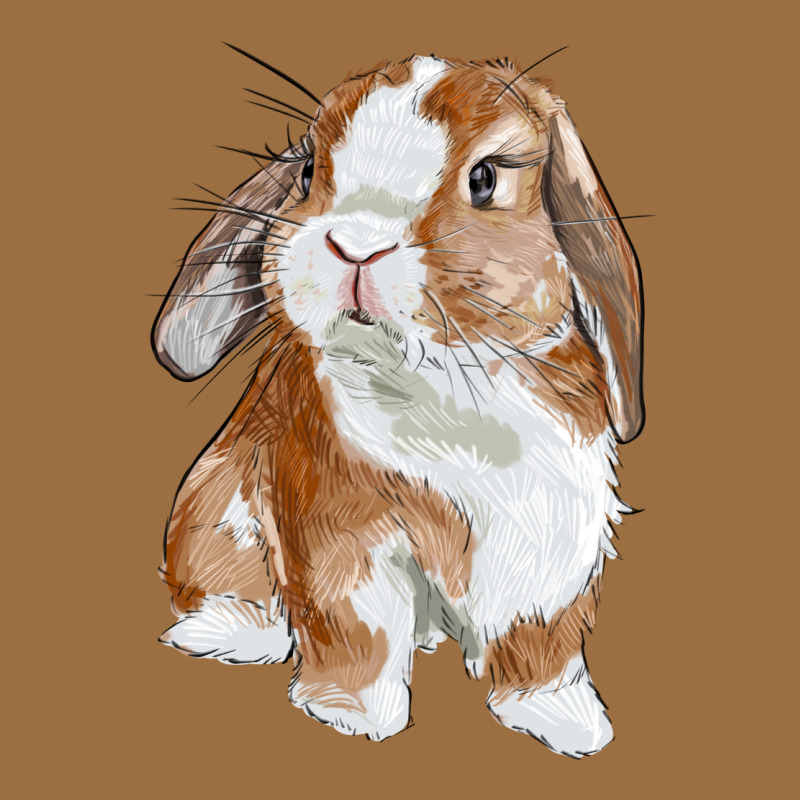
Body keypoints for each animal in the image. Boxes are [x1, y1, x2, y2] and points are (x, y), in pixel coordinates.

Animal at [153, 54, 644, 758]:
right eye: (309, 171)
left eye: (486, 178)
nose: (357, 245)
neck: (443, 386)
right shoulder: (340, 534)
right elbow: (358, 629)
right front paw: (353, 718)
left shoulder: (551, 532)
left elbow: (541, 634)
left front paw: (567, 722)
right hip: (212, 503)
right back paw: (233, 634)